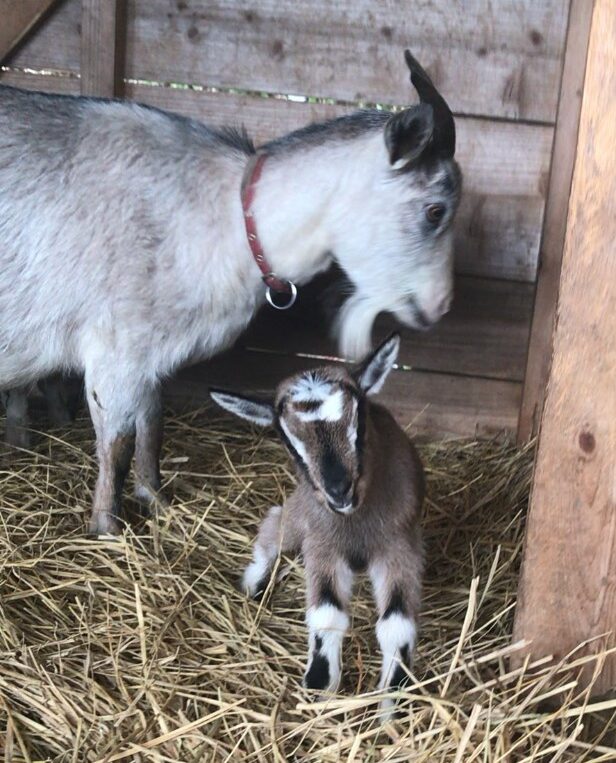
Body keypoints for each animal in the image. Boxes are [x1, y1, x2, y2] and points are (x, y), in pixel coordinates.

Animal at [0, 50, 458, 536]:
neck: (228, 219)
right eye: (435, 211)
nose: (442, 304)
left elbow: (152, 427)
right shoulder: (116, 351)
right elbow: (118, 445)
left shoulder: (149, 359)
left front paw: (157, 500)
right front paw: (108, 529)